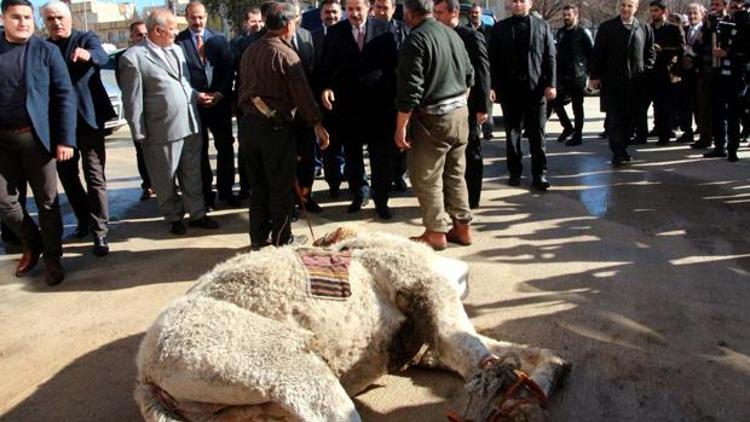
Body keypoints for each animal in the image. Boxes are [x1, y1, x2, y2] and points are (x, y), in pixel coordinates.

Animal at [135, 227, 568, 422]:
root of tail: (147, 374)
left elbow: (505, 353)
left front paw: (538, 382)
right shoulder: (421, 283)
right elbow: (468, 349)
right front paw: (507, 397)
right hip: (276, 362)